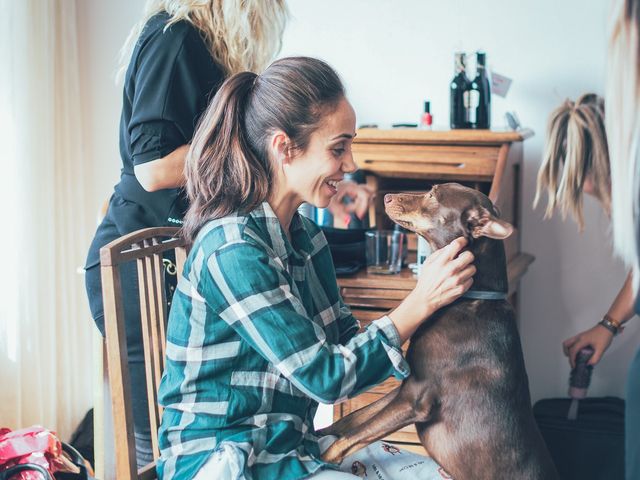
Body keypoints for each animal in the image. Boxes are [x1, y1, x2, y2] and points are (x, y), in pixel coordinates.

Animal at [322, 184, 556, 480]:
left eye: (432, 195)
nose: (385, 197)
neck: (468, 299)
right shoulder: (404, 389)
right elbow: (349, 421)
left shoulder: (415, 399)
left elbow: (348, 439)